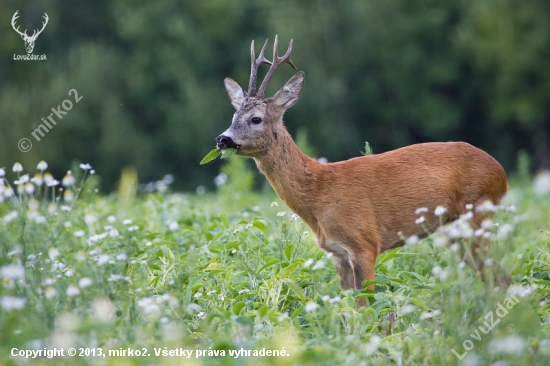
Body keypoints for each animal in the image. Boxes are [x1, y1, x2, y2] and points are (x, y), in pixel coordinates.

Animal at [216, 36, 512, 306]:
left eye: (256, 119)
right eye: (233, 117)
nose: (223, 139)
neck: (318, 193)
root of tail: (501, 172)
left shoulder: (365, 243)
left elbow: (366, 305)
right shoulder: (338, 253)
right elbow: (349, 307)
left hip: (477, 214)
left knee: (500, 277)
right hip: (455, 230)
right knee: (494, 277)